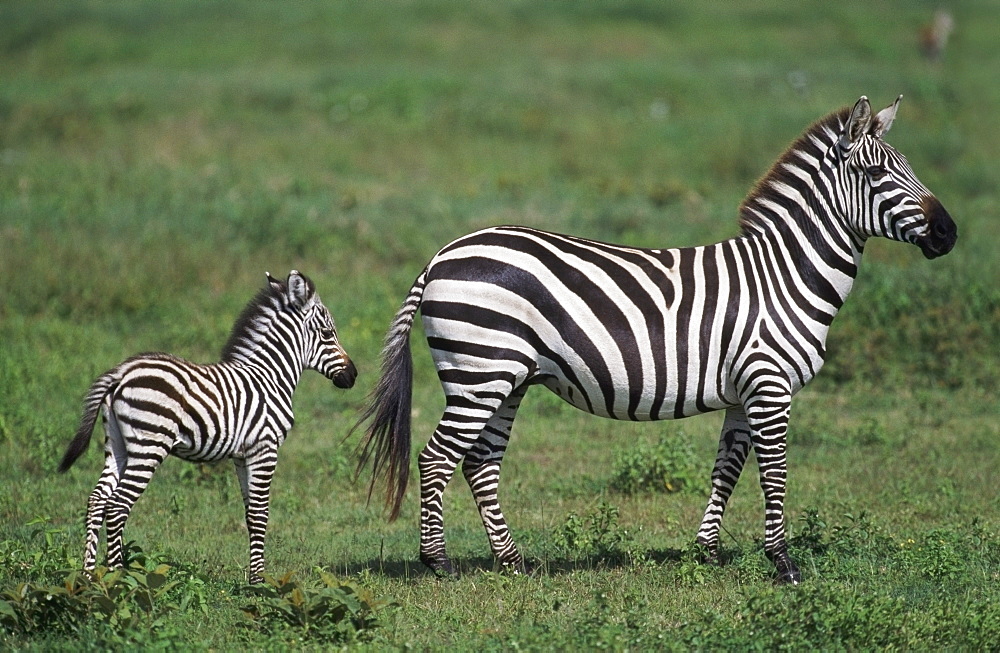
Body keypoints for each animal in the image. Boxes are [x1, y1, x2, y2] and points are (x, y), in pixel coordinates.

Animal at [57, 268, 356, 584]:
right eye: (328, 334)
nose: (353, 375)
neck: (269, 377)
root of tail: (121, 373)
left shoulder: (242, 455)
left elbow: (250, 515)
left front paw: (253, 578)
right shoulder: (265, 448)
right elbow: (261, 514)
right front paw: (259, 583)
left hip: (117, 444)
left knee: (96, 501)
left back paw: (88, 577)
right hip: (149, 444)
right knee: (116, 507)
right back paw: (119, 578)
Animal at [360, 95, 960, 580]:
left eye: (908, 169)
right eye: (879, 173)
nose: (949, 233)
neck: (784, 273)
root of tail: (442, 254)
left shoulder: (744, 390)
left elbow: (727, 468)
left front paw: (708, 552)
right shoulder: (770, 384)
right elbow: (774, 473)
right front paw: (783, 563)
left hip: (506, 378)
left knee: (479, 463)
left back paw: (512, 563)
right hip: (480, 371)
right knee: (436, 458)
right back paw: (437, 563)